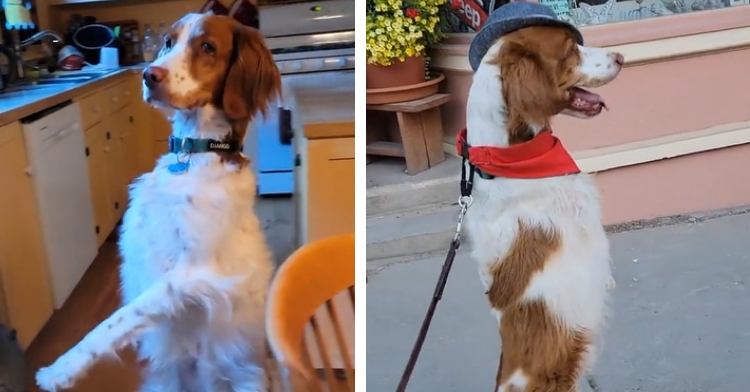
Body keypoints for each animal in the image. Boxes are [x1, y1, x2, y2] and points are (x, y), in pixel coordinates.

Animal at [35, 12, 284, 392]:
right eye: (168, 42)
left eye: (208, 46)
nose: (148, 75)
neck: (192, 156)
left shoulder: (191, 273)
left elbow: (115, 321)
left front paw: (60, 369)